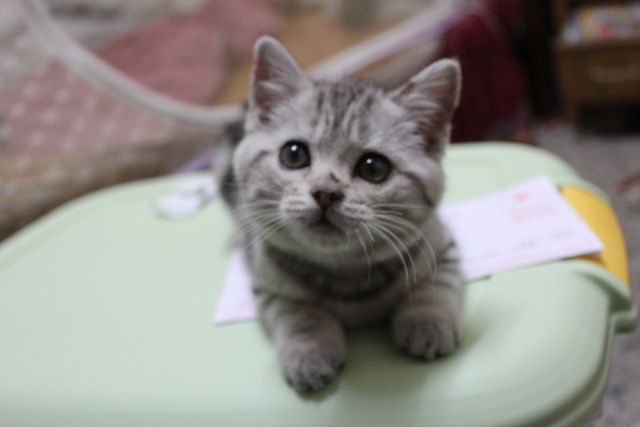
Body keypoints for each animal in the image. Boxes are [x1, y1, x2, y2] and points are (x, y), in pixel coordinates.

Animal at [220, 36, 463, 392]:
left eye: (373, 168)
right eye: (293, 154)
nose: (325, 193)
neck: (346, 273)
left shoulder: (441, 241)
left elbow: (434, 282)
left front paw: (427, 320)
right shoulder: (266, 278)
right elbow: (300, 312)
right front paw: (309, 352)